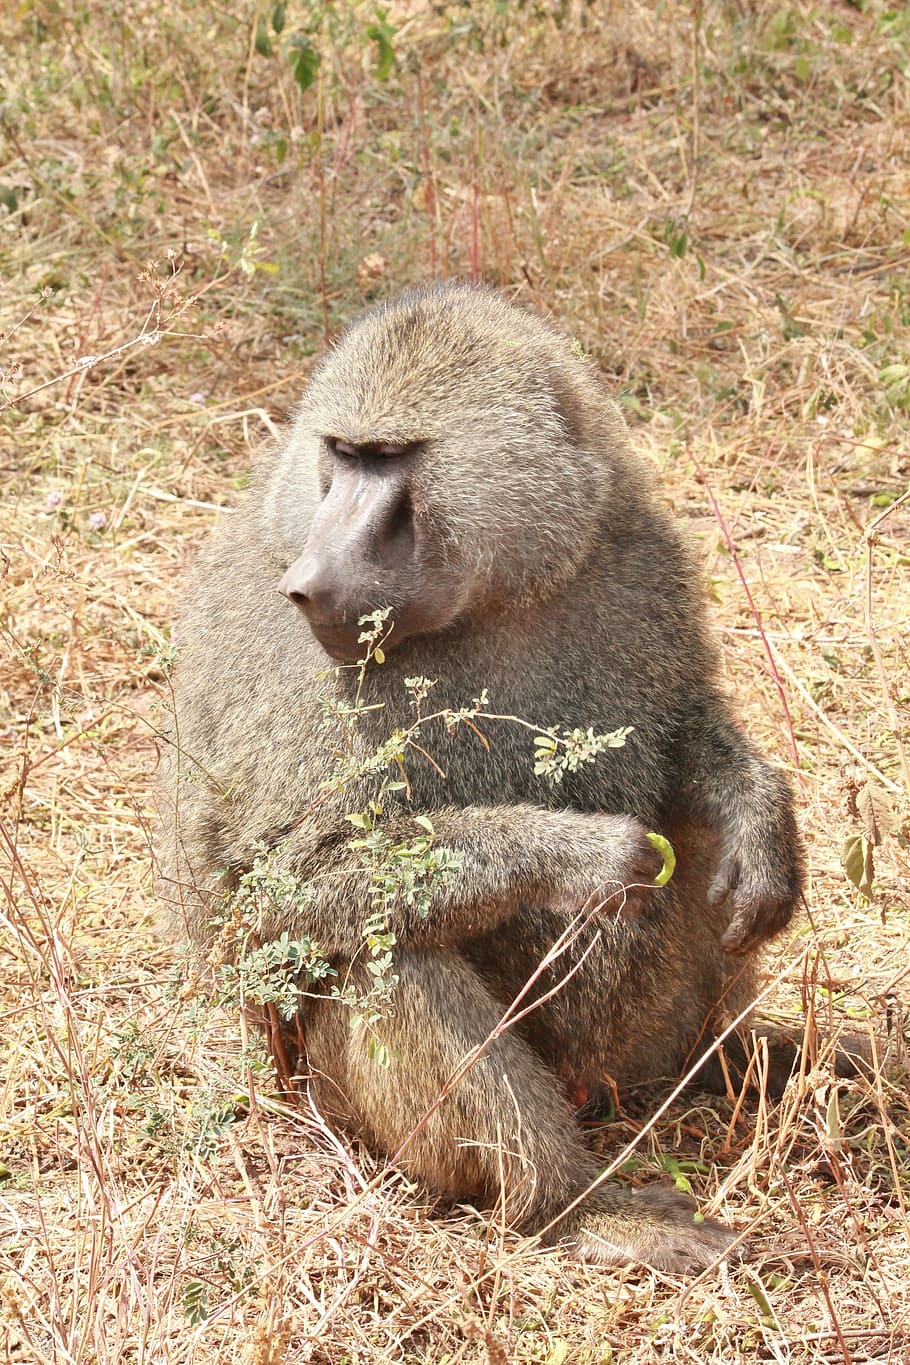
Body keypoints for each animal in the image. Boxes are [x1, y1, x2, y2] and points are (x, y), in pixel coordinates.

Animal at [158, 282, 805, 1272]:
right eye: (341, 455)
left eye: (391, 458)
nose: (316, 577)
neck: (495, 598)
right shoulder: (292, 655)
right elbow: (278, 885)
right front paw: (579, 855)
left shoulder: (637, 557)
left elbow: (683, 734)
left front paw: (762, 824)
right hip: (327, 1101)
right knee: (380, 944)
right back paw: (574, 1204)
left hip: (633, 1047)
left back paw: (740, 1059)